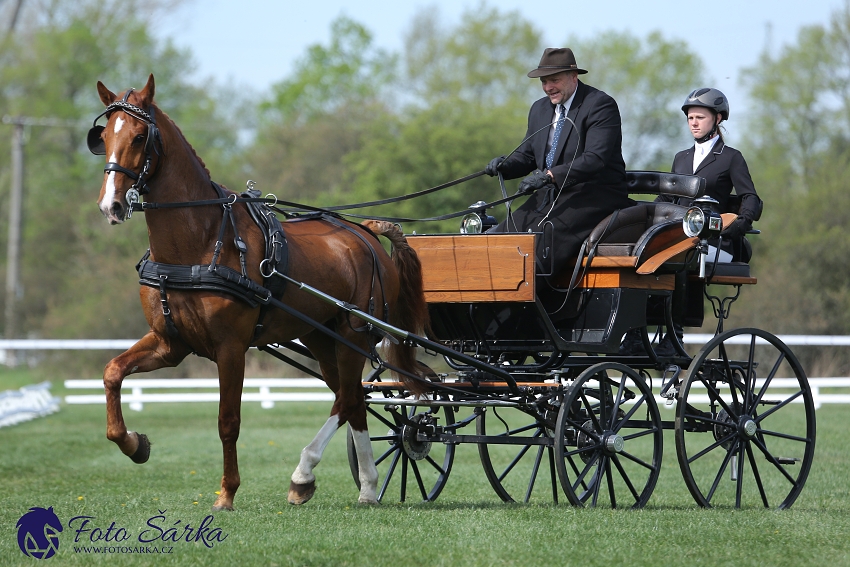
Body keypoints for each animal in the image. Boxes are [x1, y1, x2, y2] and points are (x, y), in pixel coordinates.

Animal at [92, 74, 428, 510]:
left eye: (138, 136)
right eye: (103, 135)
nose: (111, 205)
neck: (200, 242)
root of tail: (367, 233)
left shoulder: (231, 347)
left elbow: (228, 421)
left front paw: (227, 493)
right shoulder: (170, 343)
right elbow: (113, 372)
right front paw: (135, 444)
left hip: (353, 336)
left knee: (348, 397)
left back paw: (306, 473)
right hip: (322, 338)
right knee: (353, 397)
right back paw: (366, 486)